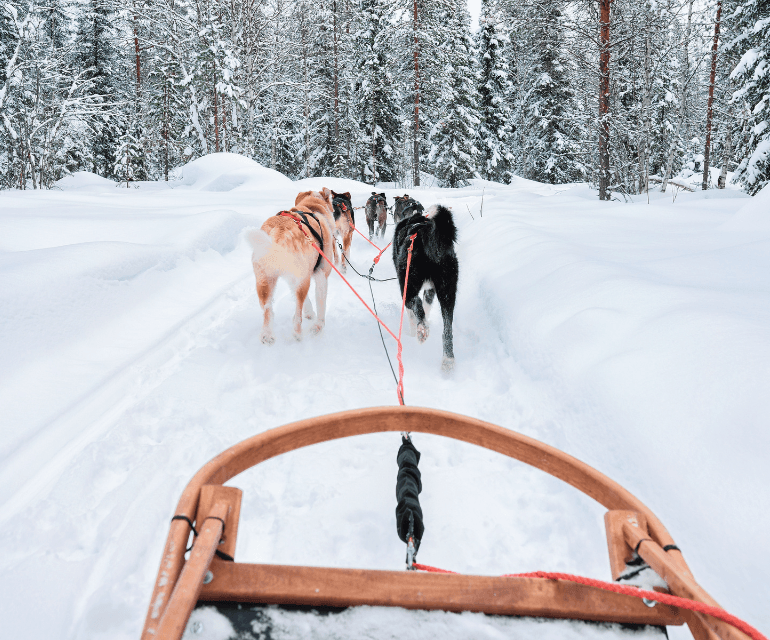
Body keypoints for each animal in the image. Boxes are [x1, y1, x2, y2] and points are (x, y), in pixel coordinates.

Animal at [390, 200, 456, 370]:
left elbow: (413, 314)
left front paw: (413, 330)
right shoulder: (430, 290)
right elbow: (427, 307)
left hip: (407, 285)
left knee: (415, 302)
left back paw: (422, 329)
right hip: (448, 292)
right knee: (447, 329)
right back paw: (448, 360)